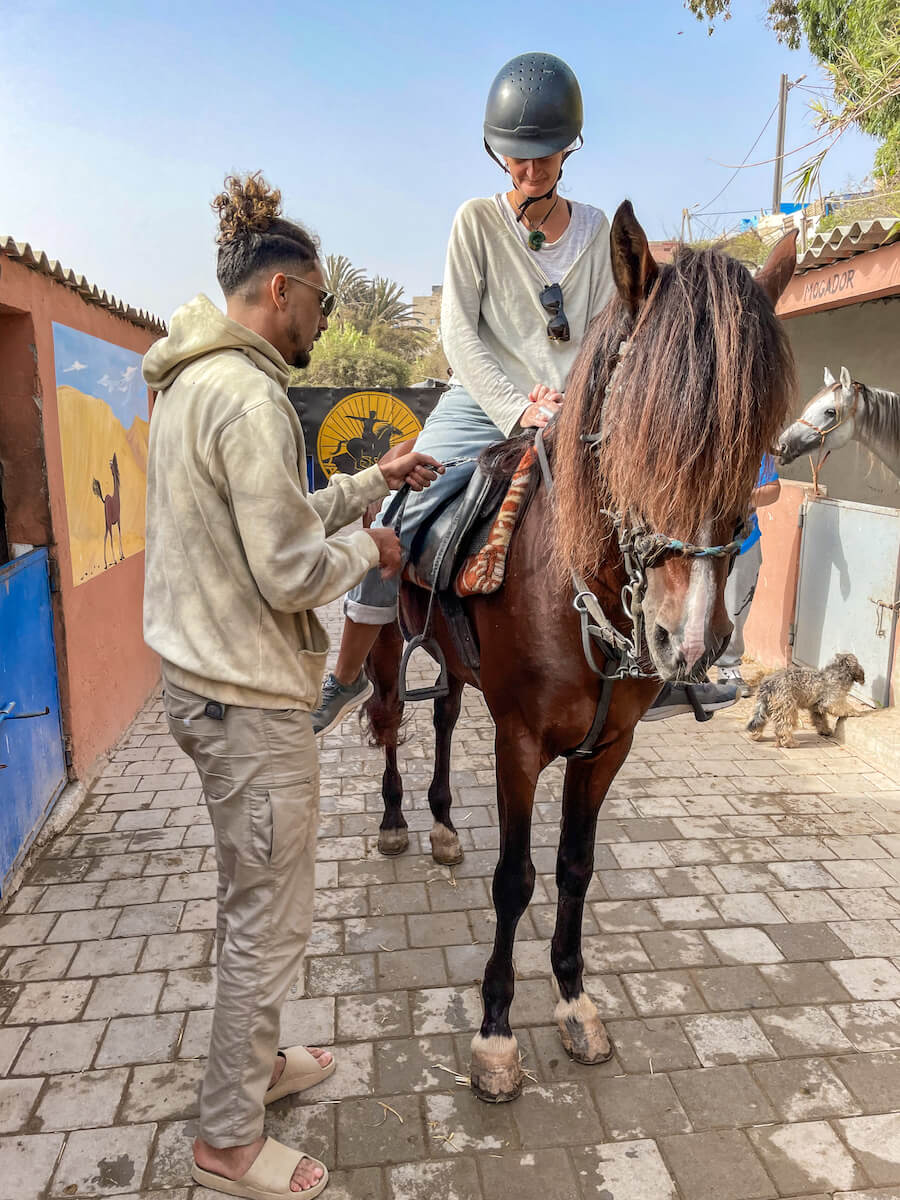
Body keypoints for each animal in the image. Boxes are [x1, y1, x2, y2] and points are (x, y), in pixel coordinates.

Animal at [362, 201, 797, 1103]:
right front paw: (496, 1034)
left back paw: (444, 823)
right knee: (390, 721)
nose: (689, 639)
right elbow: (516, 878)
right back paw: (395, 821)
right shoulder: (521, 741)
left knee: (444, 716)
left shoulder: (607, 748)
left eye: (758, 437)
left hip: (456, 671)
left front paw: (573, 999)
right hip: (389, 646)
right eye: (635, 425)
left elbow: (573, 869)